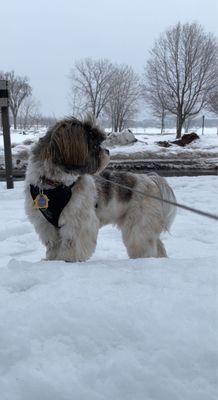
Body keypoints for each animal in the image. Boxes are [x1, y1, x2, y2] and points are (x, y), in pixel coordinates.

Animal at [24, 115, 176, 260]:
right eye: (96, 146)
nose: (107, 151)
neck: (55, 185)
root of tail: (151, 179)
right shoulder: (45, 224)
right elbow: (53, 245)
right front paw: (53, 260)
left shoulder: (78, 221)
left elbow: (73, 244)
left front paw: (68, 259)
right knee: (158, 245)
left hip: (139, 225)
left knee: (144, 244)